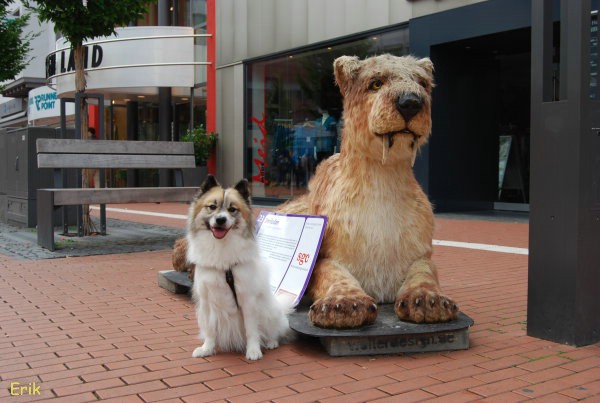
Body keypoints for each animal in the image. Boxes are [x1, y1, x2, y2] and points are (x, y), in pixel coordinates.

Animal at [188, 176, 290, 360]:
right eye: (212, 207)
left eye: (232, 209)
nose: (220, 220)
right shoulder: (206, 302)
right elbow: (210, 330)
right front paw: (207, 348)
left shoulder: (247, 300)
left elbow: (251, 330)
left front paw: (253, 351)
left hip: (269, 313)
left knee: (274, 332)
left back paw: (271, 343)